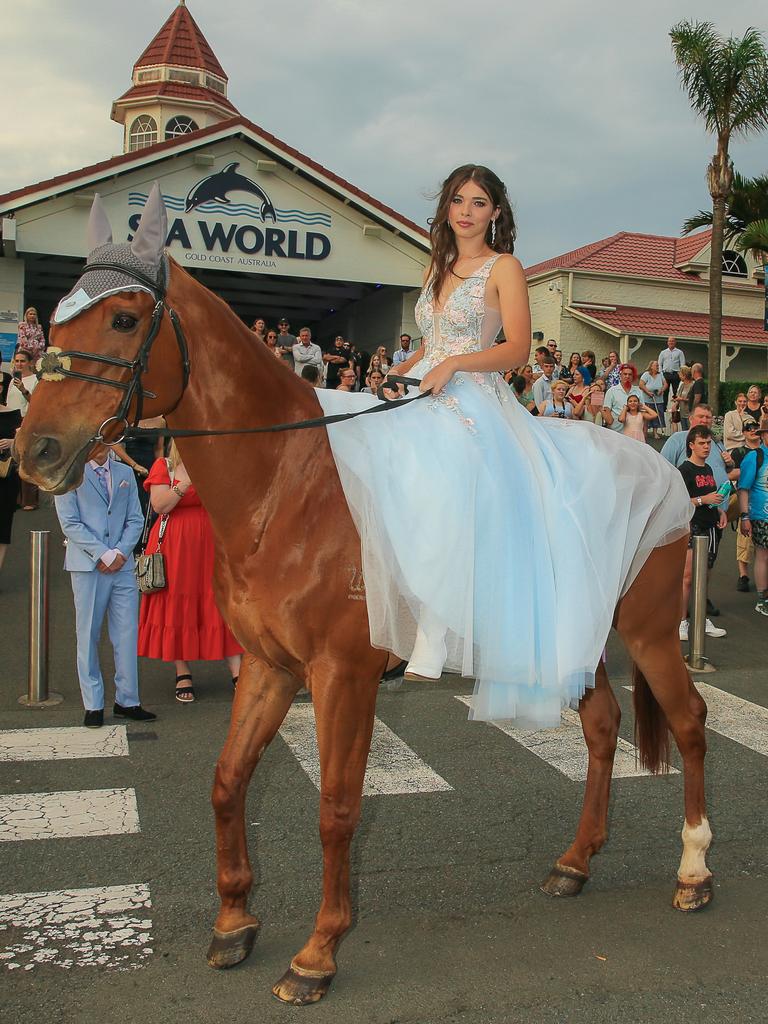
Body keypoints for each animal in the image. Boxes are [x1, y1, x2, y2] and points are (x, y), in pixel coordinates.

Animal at [15, 197, 712, 1007]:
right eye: (53, 321)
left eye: (125, 320)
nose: (36, 453)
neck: (288, 481)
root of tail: (660, 467)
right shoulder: (269, 666)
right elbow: (227, 783)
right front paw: (234, 922)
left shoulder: (341, 675)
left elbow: (336, 807)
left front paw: (316, 953)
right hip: (570, 635)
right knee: (603, 728)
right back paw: (575, 862)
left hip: (649, 633)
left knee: (689, 723)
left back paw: (694, 870)